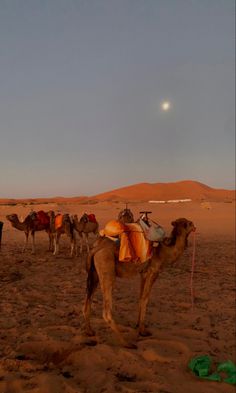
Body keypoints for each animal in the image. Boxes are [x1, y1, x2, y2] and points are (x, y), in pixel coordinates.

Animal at [83, 216, 195, 348]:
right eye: (188, 223)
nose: (194, 226)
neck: (164, 252)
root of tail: (96, 248)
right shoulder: (153, 271)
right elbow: (145, 299)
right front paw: (143, 331)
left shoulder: (143, 273)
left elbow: (140, 297)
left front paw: (137, 325)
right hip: (106, 266)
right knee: (106, 310)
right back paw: (126, 343)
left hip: (94, 273)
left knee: (87, 300)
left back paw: (89, 331)